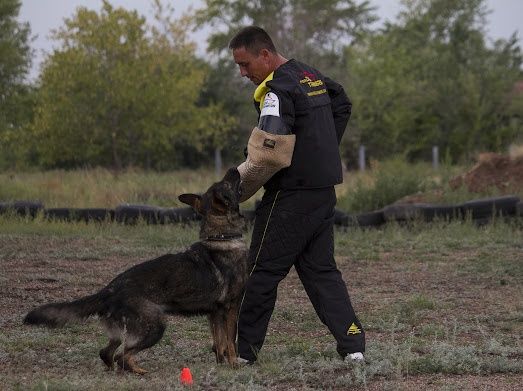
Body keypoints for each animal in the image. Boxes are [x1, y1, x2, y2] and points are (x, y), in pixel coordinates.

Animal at [25, 168, 251, 374]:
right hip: (155, 327)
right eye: (227, 183)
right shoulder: (230, 308)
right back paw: (138, 371)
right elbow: (230, 341)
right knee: (121, 355)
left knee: (107, 353)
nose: (234, 168)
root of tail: (109, 290)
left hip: (122, 333)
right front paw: (233, 364)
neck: (221, 237)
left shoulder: (215, 313)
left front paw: (221, 364)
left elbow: (219, 344)